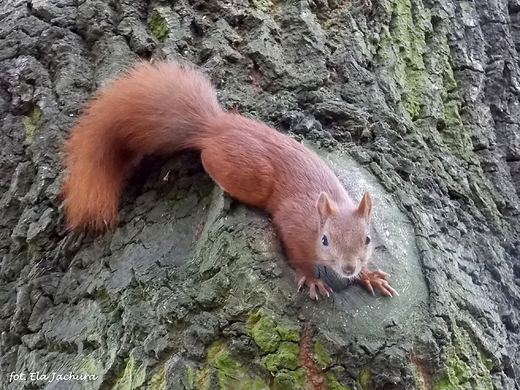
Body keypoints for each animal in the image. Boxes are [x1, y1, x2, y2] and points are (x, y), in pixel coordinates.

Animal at [60, 60, 398, 298]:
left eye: (367, 239)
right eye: (325, 240)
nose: (348, 267)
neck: (319, 216)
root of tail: (212, 127)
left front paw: (368, 275)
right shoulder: (294, 227)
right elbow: (297, 257)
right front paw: (313, 280)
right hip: (246, 172)